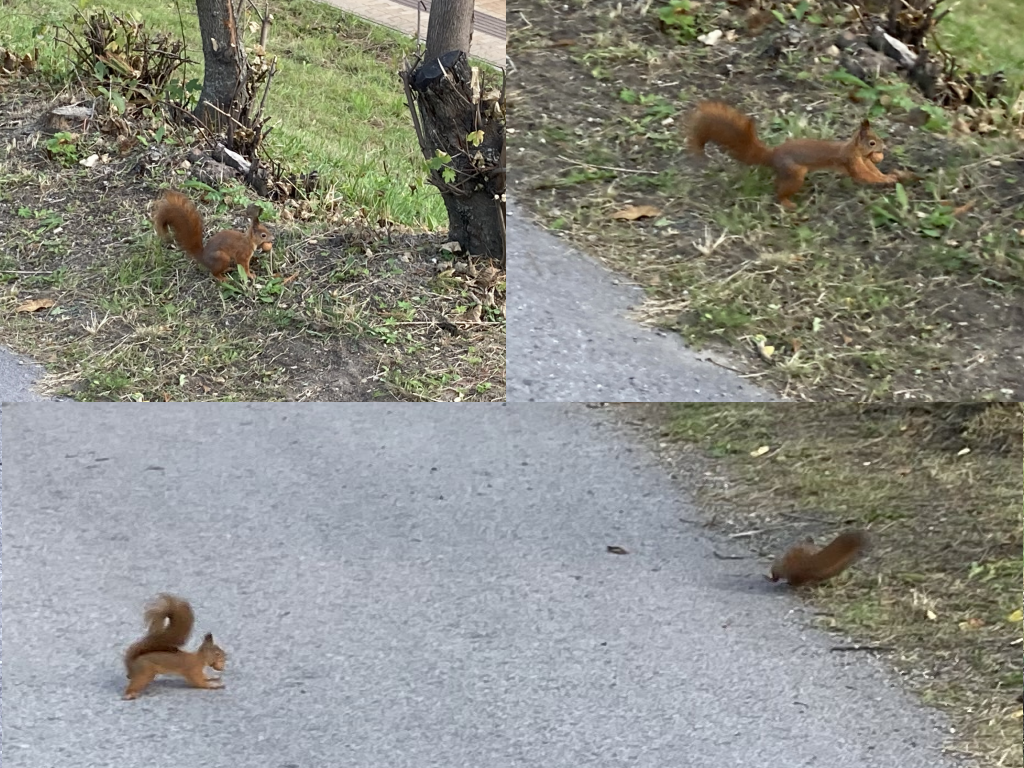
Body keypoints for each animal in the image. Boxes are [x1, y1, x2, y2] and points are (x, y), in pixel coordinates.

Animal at [688, 102, 913, 211]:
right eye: (872, 142)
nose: (884, 146)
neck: (855, 150)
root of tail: (772, 155)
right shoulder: (850, 161)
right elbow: (864, 176)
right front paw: (886, 180)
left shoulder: (864, 161)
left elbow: (873, 171)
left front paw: (888, 175)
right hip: (795, 173)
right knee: (780, 192)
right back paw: (787, 203)